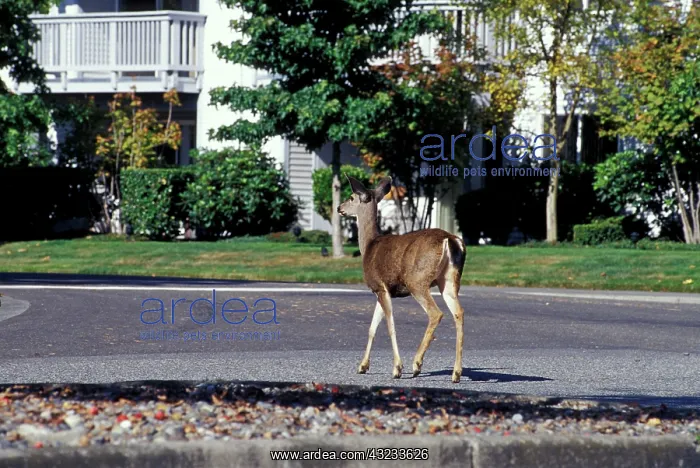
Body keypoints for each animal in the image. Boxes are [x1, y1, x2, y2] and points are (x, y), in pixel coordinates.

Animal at [337, 175, 467, 383]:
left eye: (351, 197)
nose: (339, 208)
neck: (369, 245)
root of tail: (450, 240)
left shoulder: (380, 286)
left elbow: (389, 325)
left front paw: (397, 368)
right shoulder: (382, 290)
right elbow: (372, 327)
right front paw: (362, 366)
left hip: (417, 281)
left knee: (436, 313)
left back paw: (417, 364)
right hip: (449, 280)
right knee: (459, 313)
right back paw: (456, 373)